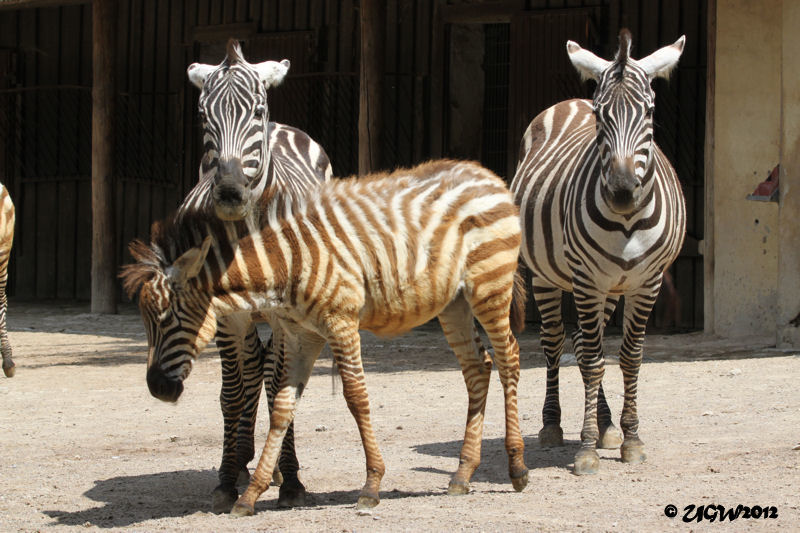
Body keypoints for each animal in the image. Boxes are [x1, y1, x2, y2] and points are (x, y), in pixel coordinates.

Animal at [120, 159, 532, 516]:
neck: (287, 262)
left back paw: (516, 467)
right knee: (478, 368)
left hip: (489, 287)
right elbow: (282, 406)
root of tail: (487, 174)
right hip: (454, 303)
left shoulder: (341, 323)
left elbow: (357, 398)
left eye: (168, 317)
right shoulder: (301, 335)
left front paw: (371, 485)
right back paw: (463, 473)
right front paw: (251, 494)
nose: (157, 388)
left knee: (509, 359)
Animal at [512, 28, 688, 474]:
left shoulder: (647, 283)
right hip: (549, 276)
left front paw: (631, 438)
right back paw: (553, 425)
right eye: (600, 116)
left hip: (610, 286)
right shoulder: (587, 280)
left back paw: (607, 423)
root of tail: (570, 100)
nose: (623, 192)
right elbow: (593, 360)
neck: (626, 222)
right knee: (557, 342)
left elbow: (629, 357)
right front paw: (587, 448)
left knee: (579, 341)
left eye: (649, 112)